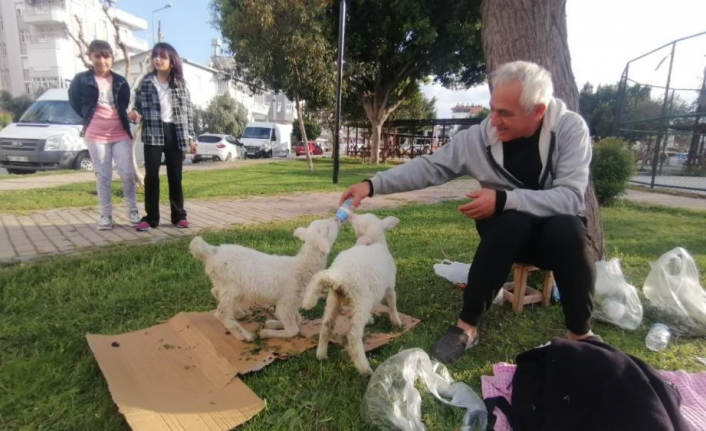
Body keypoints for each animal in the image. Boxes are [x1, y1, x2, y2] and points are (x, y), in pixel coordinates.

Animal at [190, 218, 338, 342]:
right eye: (328, 229)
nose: (336, 219)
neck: (301, 267)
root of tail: (212, 252)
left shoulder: (290, 303)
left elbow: (298, 319)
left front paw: (272, 323)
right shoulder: (287, 301)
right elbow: (293, 329)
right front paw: (267, 332)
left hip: (223, 283)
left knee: (215, 292)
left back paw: (238, 313)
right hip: (232, 286)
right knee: (222, 313)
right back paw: (246, 336)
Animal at [302, 214, 402, 376]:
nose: (350, 215)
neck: (377, 243)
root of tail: (338, 274)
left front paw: (370, 318)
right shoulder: (389, 285)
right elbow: (392, 303)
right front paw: (397, 321)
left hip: (334, 298)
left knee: (327, 325)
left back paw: (321, 354)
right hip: (361, 300)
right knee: (353, 335)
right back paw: (364, 368)